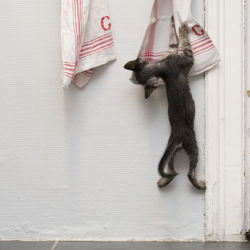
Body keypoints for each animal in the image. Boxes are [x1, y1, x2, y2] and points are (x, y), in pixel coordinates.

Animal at [124, 23, 205, 190]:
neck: (162, 69)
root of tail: (176, 139)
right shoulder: (187, 58)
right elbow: (184, 44)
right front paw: (183, 27)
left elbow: (172, 43)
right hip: (192, 144)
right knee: (189, 172)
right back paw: (200, 184)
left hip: (171, 154)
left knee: (171, 170)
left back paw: (163, 181)